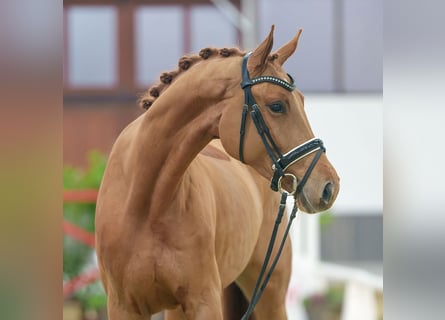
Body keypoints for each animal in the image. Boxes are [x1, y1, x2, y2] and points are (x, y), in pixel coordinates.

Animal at [96, 25, 340, 320]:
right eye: (277, 105)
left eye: (303, 101)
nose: (329, 186)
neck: (145, 203)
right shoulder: (123, 306)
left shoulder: (204, 301)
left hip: (270, 291)